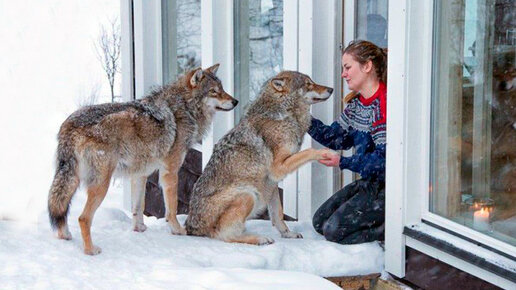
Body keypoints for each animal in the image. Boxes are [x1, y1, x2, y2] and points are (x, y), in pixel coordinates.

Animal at [47, 64, 237, 255]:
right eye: (213, 92)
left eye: (222, 89)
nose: (235, 101)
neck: (185, 108)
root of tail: (68, 126)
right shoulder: (170, 172)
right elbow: (172, 208)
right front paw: (178, 230)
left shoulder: (140, 174)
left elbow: (138, 207)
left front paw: (139, 229)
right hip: (101, 185)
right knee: (83, 218)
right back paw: (90, 250)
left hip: (72, 179)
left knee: (60, 207)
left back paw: (65, 235)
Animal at [183, 71, 336, 245]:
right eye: (308, 84)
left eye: (312, 81)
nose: (331, 89)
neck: (285, 114)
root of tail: (191, 227)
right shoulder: (278, 169)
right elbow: (308, 151)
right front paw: (326, 153)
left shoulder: (272, 182)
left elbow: (278, 215)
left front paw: (288, 234)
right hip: (249, 194)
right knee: (225, 234)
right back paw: (260, 238)